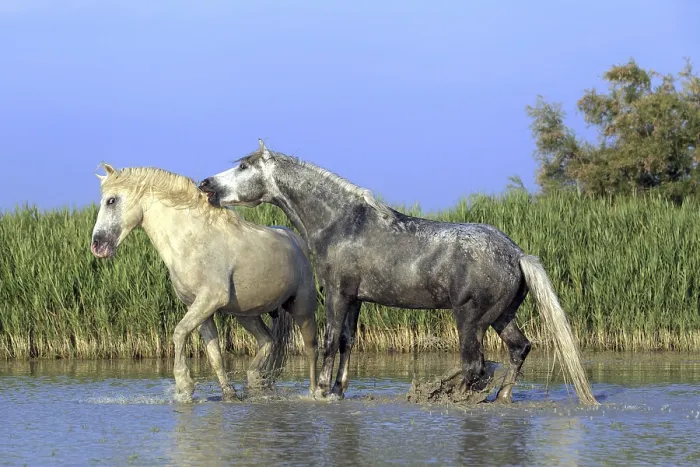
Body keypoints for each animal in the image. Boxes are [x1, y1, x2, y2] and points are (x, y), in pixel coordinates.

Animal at [90, 163, 318, 402]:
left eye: (111, 200)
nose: (97, 245)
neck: (190, 241)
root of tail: (296, 240)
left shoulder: (210, 300)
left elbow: (179, 332)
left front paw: (184, 385)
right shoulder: (200, 307)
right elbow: (214, 354)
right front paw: (229, 394)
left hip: (302, 308)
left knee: (309, 348)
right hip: (246, 313)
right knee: (268, 340)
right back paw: (255, 381)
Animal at [199, 140, 598, 406]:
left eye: (244, 167)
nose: (206, 185)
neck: (341, 223)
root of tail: (516, 253)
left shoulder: (338, 293)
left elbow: (329, 341)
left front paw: (322, 391)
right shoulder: (356, 298)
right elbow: (346, 341)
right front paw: (339, 389)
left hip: (471, 319)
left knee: (475, 365)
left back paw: (442, 394)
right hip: (501, 316)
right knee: (518, 350)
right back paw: (499, 398)